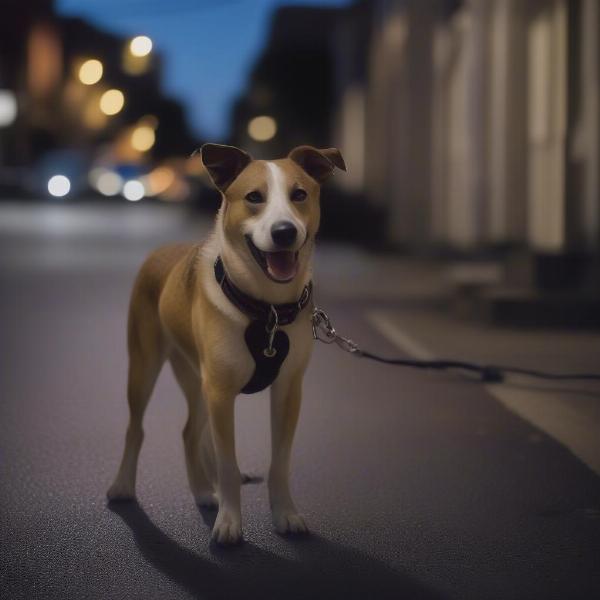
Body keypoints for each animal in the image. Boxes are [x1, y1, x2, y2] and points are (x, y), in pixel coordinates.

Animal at [105, 142, 344, 544]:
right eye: (253, 197)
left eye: (299, 195)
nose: (284, 232)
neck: (267, 310)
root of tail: (162, 250)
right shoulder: (219, 389)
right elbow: (227, 461)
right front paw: (229, 522)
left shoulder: (288, 389)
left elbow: (279, 462)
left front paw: (285, 513)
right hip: (144, 365)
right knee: (136, 428)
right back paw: (126, 485)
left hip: (196, 377)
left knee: (192, 432)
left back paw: (204, 489)